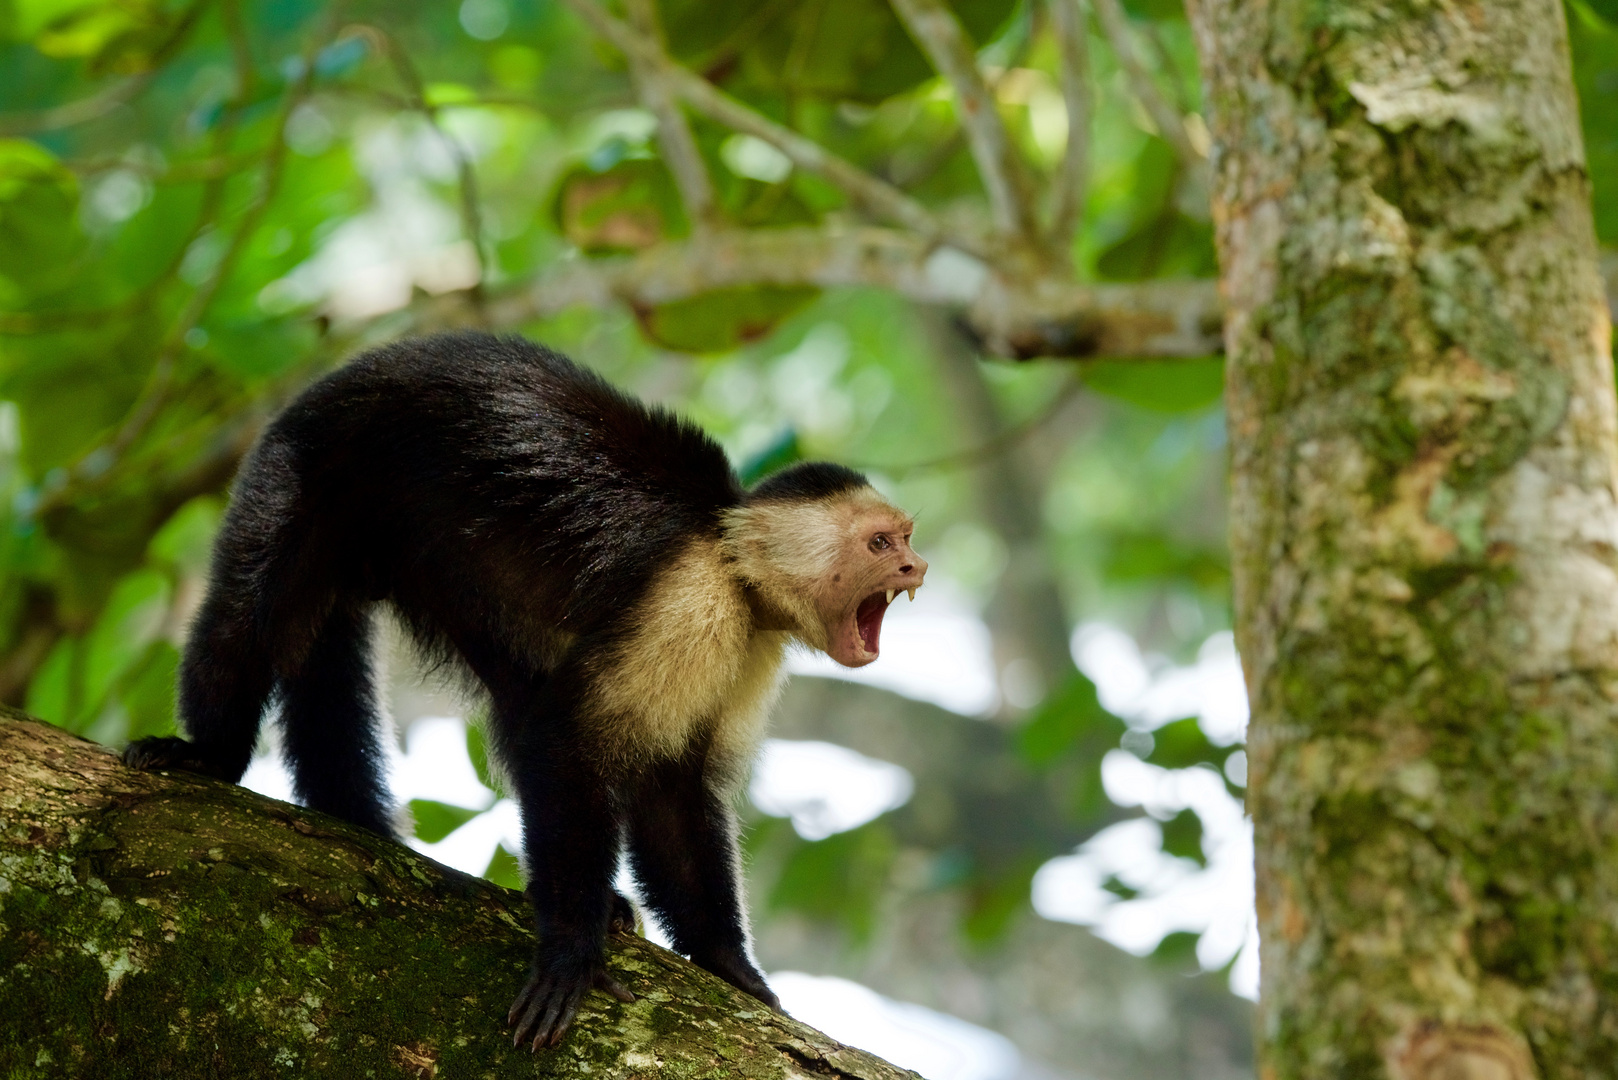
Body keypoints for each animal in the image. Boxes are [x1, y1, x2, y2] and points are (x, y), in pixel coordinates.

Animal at [121, 327, 931, 1049]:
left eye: (907, 537)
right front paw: (571, 950)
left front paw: (732, 967)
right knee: (255, 613)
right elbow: (575, 740)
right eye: (879, 543)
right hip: (312, 461)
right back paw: (208, 753)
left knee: (517, 684)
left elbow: (672, 788)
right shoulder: (686, 604)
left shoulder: (750, 646)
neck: (736, 568)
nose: (916, 568)